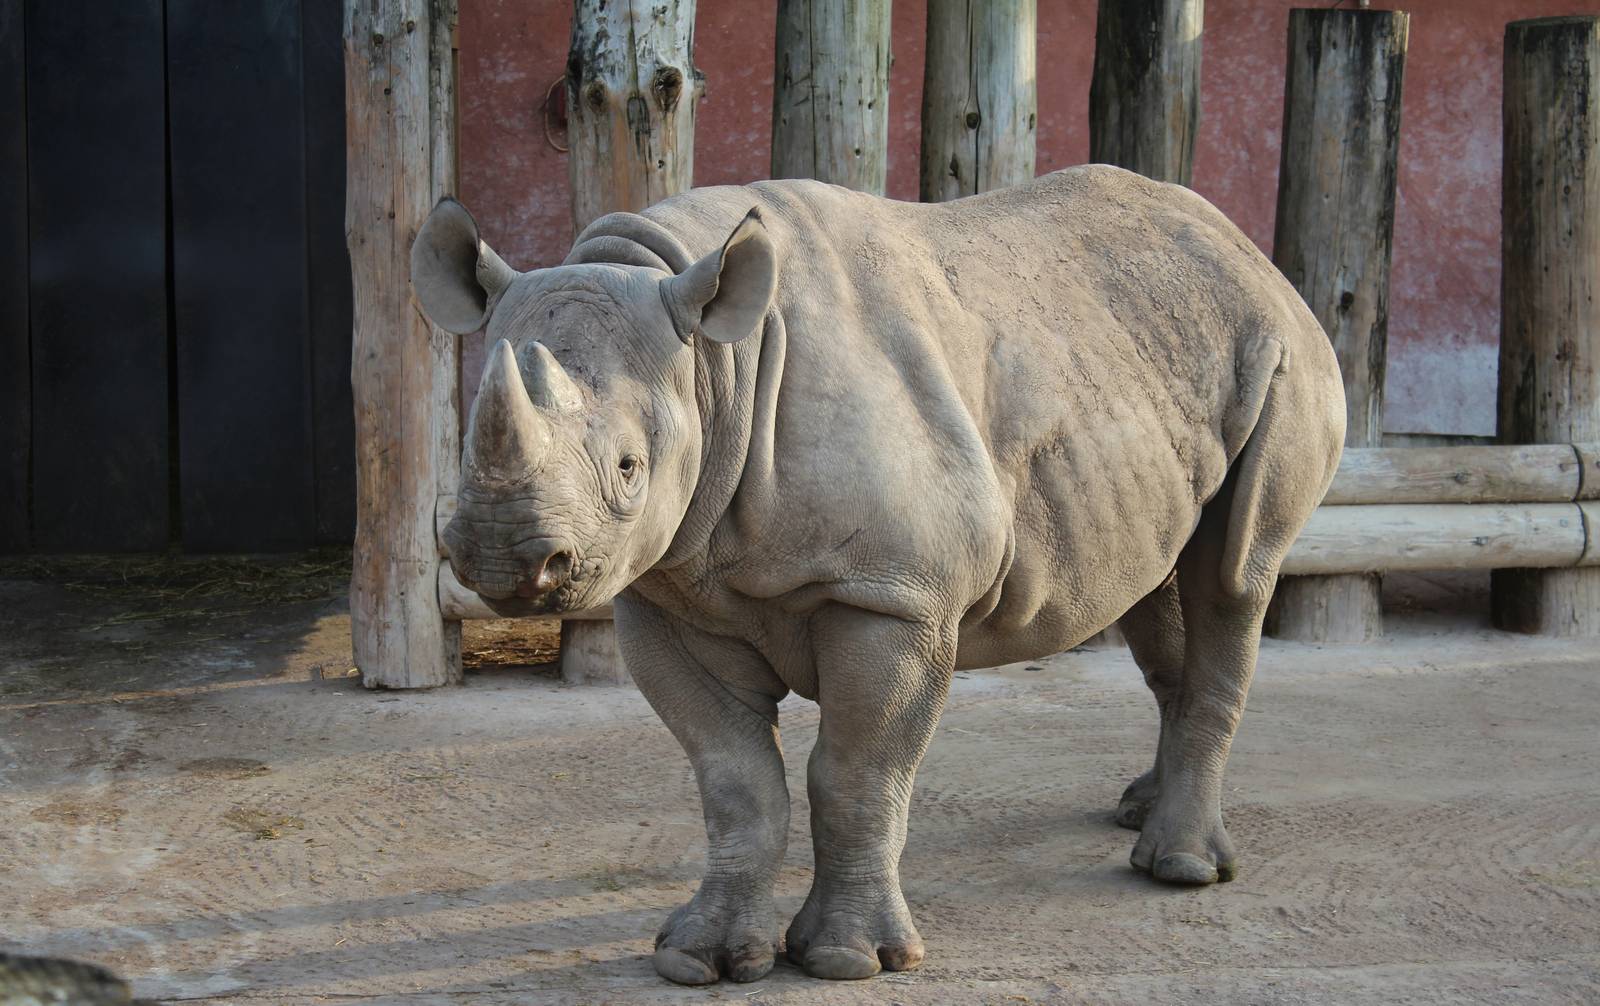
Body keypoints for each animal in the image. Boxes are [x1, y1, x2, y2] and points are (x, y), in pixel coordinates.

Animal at [411, 166, 1345, 985]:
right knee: (1157, 579)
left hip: (1279, 350)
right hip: (1134, 359)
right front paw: (698, 960)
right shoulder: (668, 598)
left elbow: (855, 773)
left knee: (1233, 575)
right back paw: (1140, 809)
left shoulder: (894, 594)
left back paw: (1180, 868)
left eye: (630, 468)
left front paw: (846, 961)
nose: (501, 557)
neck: (715, 366)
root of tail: (1248, 249)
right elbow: (735, 781)